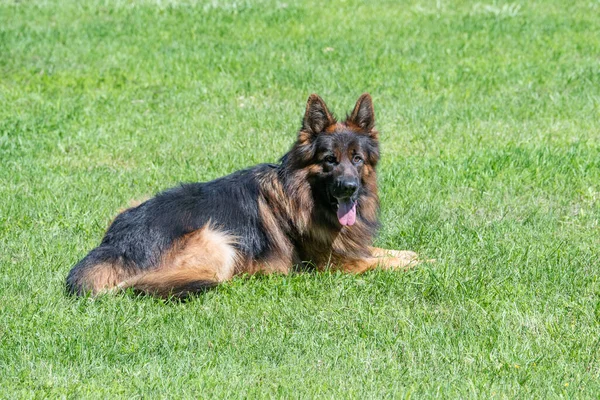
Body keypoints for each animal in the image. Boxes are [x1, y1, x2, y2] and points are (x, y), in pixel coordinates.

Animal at [65, 94, 420, 296]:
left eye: (357, 159)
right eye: (329, 160)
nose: (349, 187)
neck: (303, 194)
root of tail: (112, 247)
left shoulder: (354, 249)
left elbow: (397, 253)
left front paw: (412, 255)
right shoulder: (338, 265)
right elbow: (391, 263)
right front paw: (424, 264)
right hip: (218, 240)